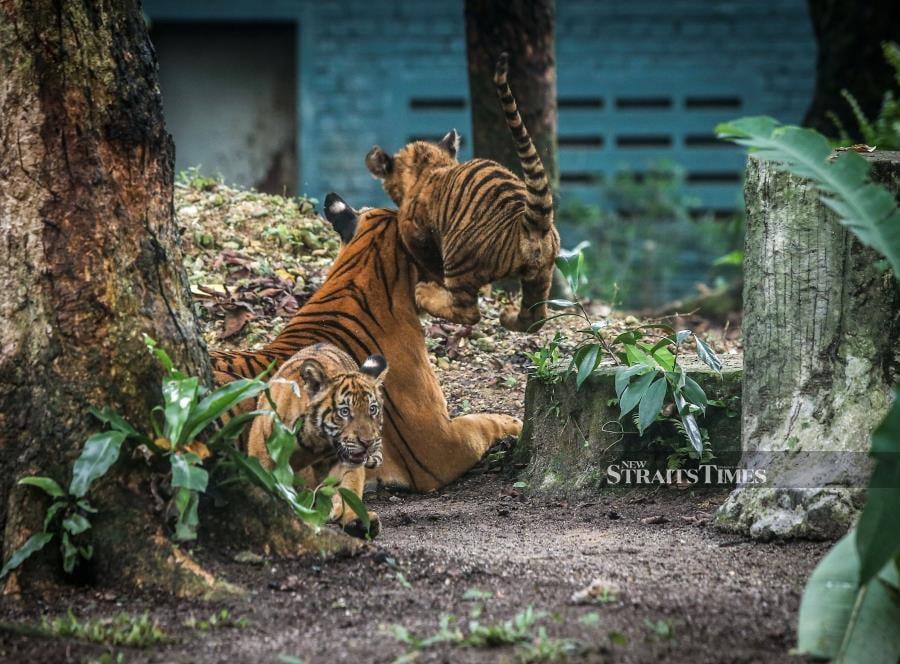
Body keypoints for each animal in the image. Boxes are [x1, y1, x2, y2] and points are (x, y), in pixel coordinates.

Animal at [362, 51, 560, 332]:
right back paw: (508, 317)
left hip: (459, 259)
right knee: (534, 317)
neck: (429, 166)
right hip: (542, 274)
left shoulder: (414, 232)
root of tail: (530, 222)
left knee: (466, 311)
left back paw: (425, 294)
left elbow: (428, 260)